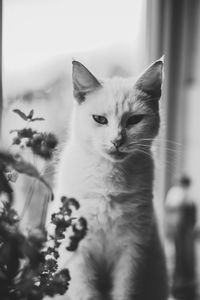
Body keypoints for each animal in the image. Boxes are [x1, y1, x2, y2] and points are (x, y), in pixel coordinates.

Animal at [47, 58, 168, 300]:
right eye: (99, 120)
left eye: (134, 120)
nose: (117, 141)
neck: (110, 179)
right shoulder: (78, 253)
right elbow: (85, 293)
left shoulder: (132, 251)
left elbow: (126, 290)